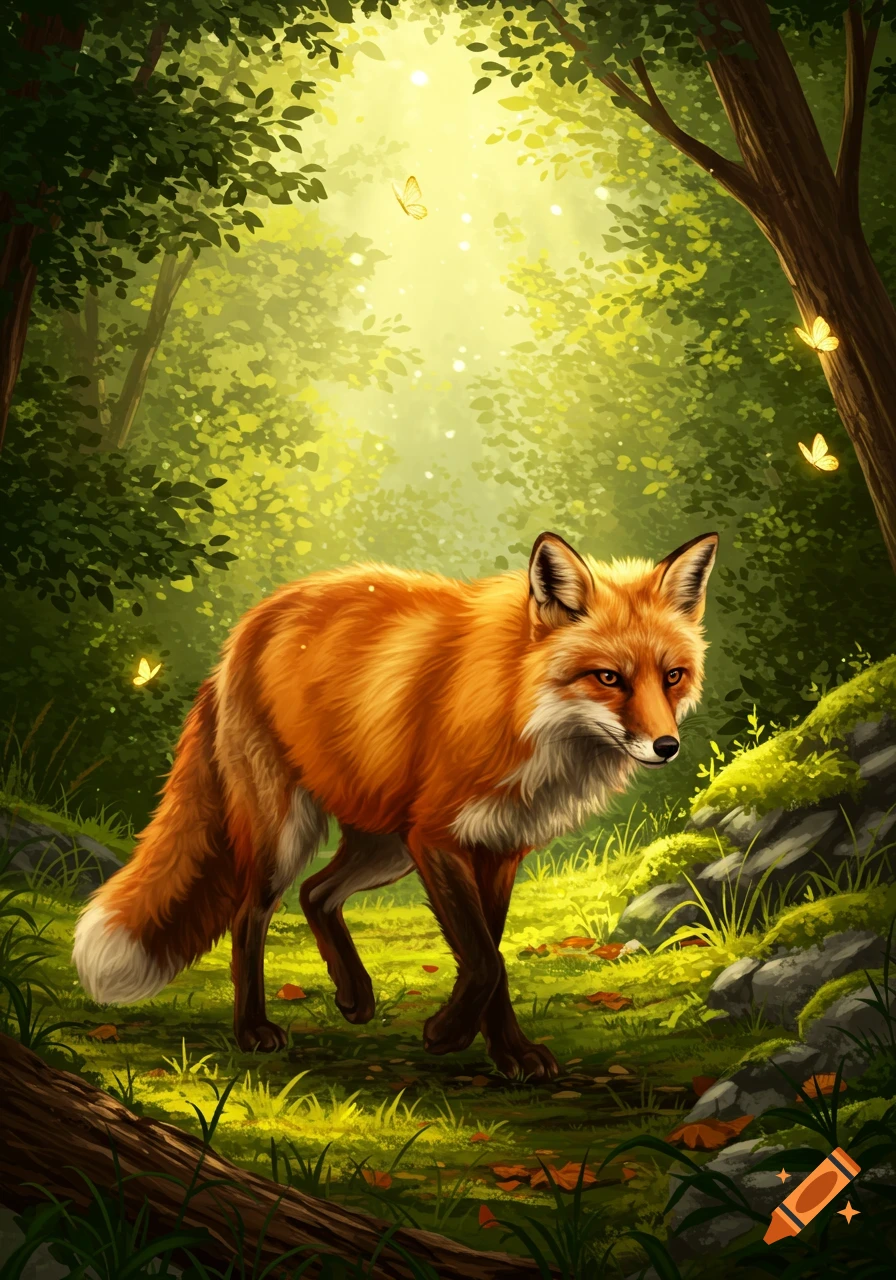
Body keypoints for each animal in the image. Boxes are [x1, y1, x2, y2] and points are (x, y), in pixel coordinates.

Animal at [73, 530, 717, 1080]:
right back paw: (254, 1028)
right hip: (292, 831)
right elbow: (486, 961)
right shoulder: (438, 836)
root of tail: (242, 633)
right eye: (608, 678)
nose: (666, 746)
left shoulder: (499, 847)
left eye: (673, 676)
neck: (518, 706)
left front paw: (508, 1053)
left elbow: (492, 957)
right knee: (250, 913)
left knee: (317, 893)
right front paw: (448, 1035)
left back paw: (354, 994)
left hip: (386, 845)